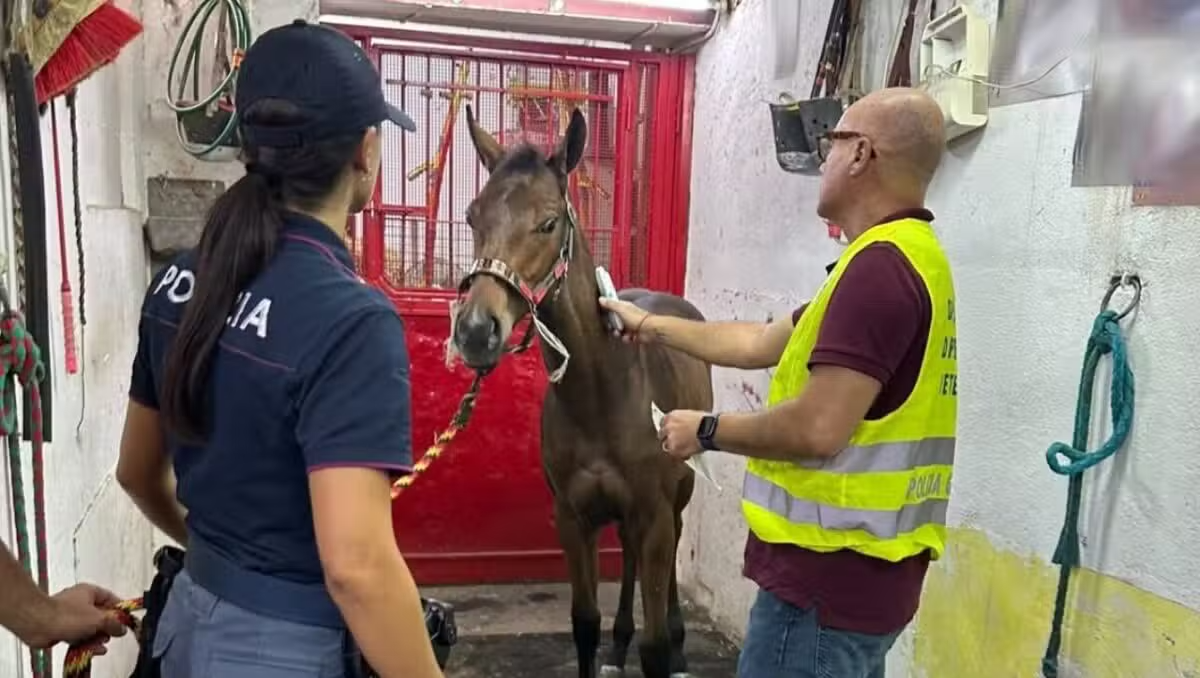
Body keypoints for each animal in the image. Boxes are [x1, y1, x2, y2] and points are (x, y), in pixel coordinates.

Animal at [450, 105, 714, 678]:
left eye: (548, 222)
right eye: (473, 217)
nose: (476, 332)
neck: (601, 397)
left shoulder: (654, 515)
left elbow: (654, 648)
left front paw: (663, 645)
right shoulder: (573, 518)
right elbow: (585, 624)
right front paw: (608, 640)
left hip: (678, 497)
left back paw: (680, 640)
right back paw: (621, 640)